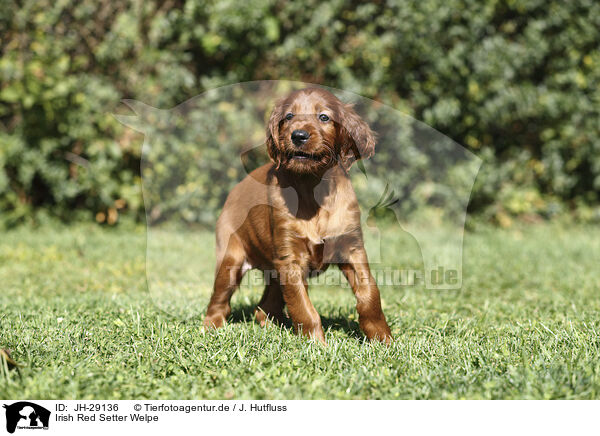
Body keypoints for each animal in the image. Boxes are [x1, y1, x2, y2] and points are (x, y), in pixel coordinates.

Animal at [204, 87, 394, 344]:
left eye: (324, 117)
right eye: (289, 116)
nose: (298, 136)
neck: (312, 188)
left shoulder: (352, 249)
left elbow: (369, 294)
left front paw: (383, 339)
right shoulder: (290, 258)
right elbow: (304, 308)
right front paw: (317, 345)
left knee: (265, 307)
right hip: (231, 259)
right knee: (219, 300)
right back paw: (211, 327)